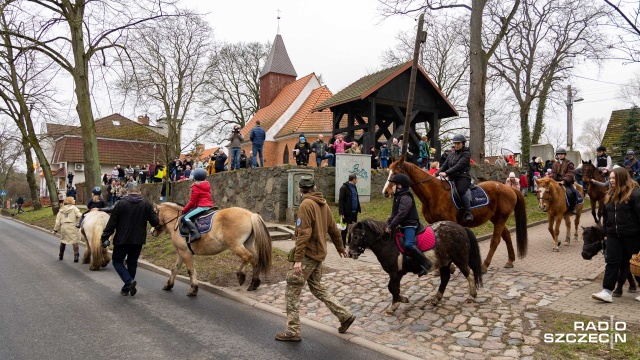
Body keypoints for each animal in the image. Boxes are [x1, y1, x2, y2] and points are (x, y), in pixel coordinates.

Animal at [350, 218, 480, 314]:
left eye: (356, 237)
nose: (350, 253)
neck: (388, 243)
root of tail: (462, 228)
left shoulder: (395, 273)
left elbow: (393, 288)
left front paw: (394, 306)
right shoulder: (397, 274)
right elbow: (391, 288)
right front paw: (402, 299)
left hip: (459, 259)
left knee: (469, 273)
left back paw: (471, 296)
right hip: (445, 262)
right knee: (445, 278)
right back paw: (435, 299)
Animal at [382, 158, 528, 272]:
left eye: (396, 173)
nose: (386, 192)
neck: (435, 194)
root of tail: (509, 188)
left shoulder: (450, 221)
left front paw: (451, 267)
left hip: (500, 218)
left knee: (495, 241)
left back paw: (484, 265)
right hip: (496, 218)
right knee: (507, 236)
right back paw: (510, 261)